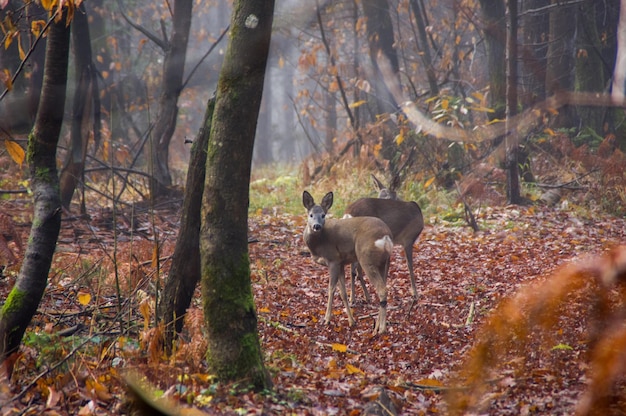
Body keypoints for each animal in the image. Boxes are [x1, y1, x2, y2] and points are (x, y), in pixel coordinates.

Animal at [302, 192, 392, 334]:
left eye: (323, 215)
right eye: (310, 215)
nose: (317, 226)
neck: (319, 245)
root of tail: (386, 237)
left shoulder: (333, 260)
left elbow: (331, 289)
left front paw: (327, 319)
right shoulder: (341, 263)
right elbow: (343, 293)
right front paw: (351, 321)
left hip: (366, 259)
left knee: (382, 290)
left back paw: (381, 329)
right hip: (385, 262)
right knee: (384, 287)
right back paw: (377, 326)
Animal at [344, 174, 422, 304]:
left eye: (388, 198)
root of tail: (349, 213)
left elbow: (387, 265)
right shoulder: (408, 238)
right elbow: (409, 265)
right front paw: (415, 294)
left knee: (354, 267)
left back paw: (361, 297)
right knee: (356, 267)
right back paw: (356, 298)